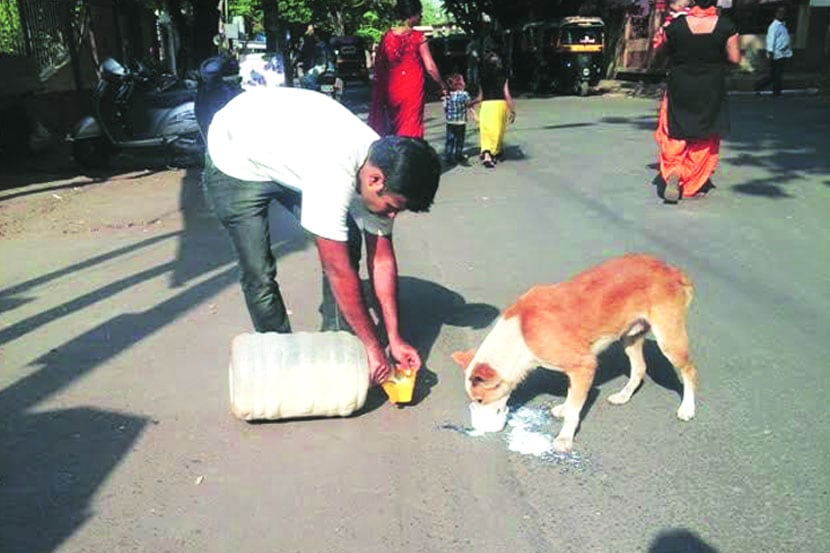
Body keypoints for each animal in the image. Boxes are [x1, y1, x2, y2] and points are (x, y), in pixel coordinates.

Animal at [452, 254, 700, 452]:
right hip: (630, 336)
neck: (520, 335)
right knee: (639, 368)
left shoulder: (584, 366)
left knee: (689, 371)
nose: (478, 420)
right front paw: (564, 408)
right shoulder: (575, 371)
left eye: (480, 400)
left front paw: (565, 438)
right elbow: (572, 399)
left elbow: (574, 409)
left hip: (669, 341)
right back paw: (623, 395)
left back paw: (687, 408)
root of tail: (672, 269)